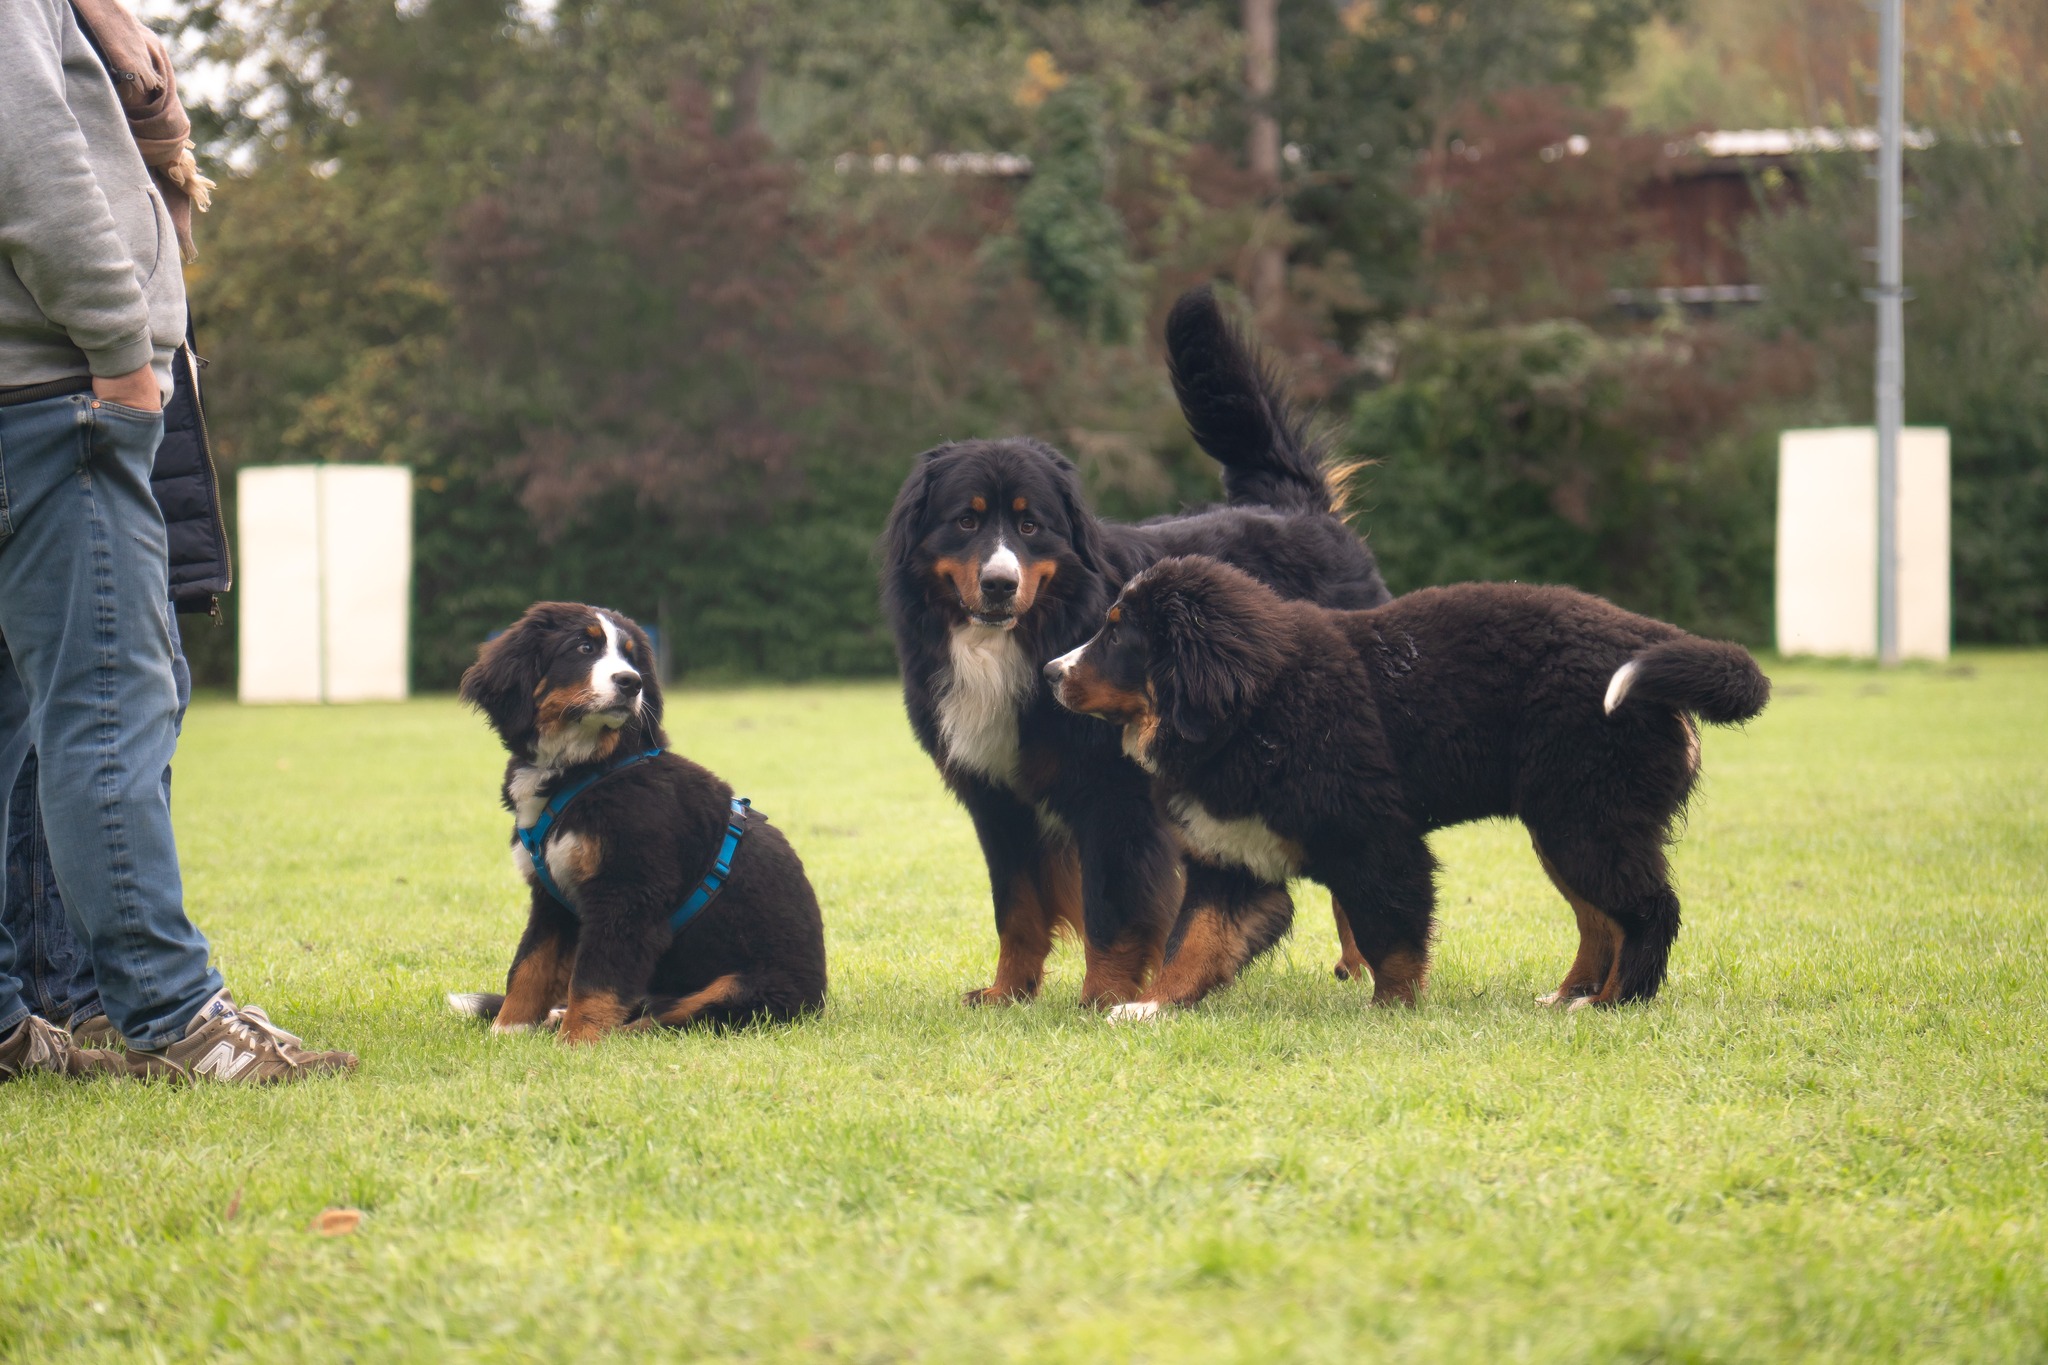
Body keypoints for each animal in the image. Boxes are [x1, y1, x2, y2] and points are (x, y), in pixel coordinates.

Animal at [452, 601, 827, 1039]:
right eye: (583, 647)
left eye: (631, 659)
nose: (631, 683)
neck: (589, 769)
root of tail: (818, 1003)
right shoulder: (550, 897)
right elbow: (530, 964)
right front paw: (508, 1030)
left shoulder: (628, 893)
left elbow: (595, 979)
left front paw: (576, 1040)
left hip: (741, 988)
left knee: (664, 1019)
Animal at [880, 290, 1392, 1015]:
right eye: (967, 519)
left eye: (1030, 524)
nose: (1000, 582)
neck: (1020, 638)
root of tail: (1299, 509)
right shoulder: (998, 800)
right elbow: (1017, 908)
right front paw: (1009, 991)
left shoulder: (1113, 795)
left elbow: (1114, 908)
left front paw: (1104, 996)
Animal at [1048, 556, 1769, 1015]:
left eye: (1118, 631)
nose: (1053, 671)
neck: (1256, 711)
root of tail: (1649, 634)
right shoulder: (1234, 857)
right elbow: (1194, 942)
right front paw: (1151, 1006)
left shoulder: (1375, 841)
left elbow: (1389, 933)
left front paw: (1392, 1007)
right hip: (1570, 823)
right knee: (1600, 918)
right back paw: (1574, 995)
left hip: (1588, 818)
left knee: (1646, 910)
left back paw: (1614, 1003)